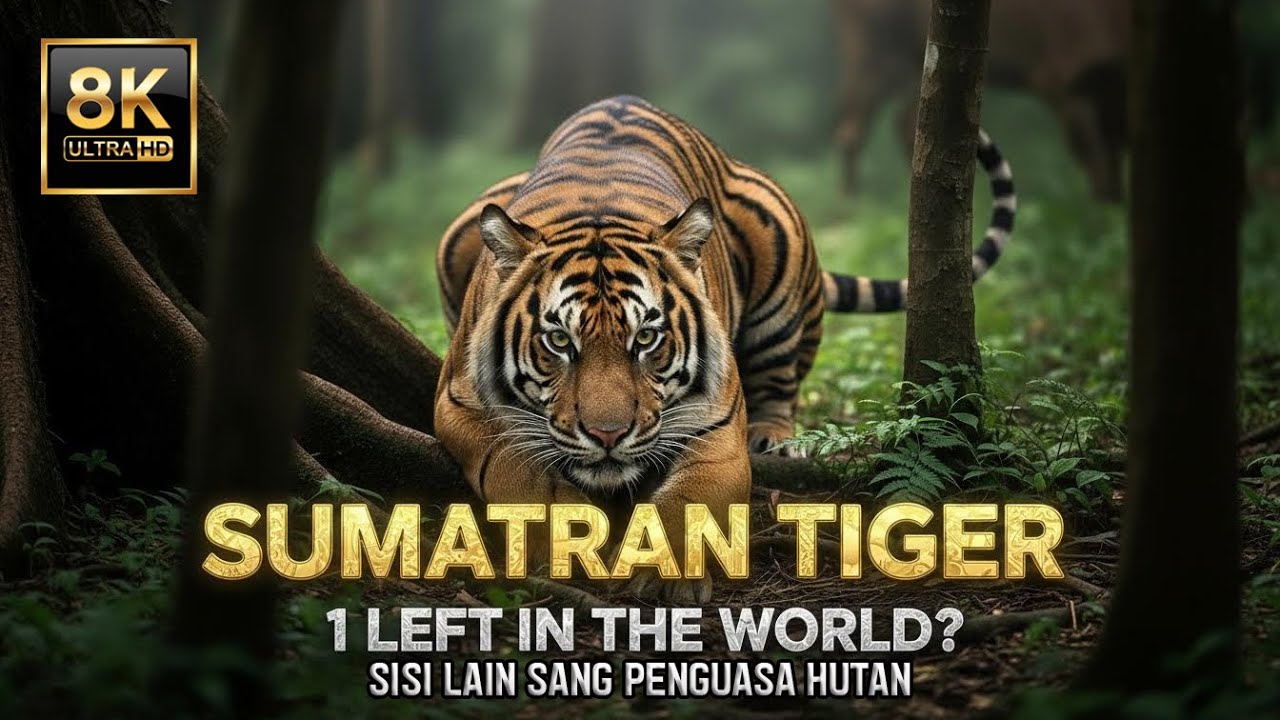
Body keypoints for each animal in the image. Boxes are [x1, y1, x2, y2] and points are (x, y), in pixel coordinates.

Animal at [433, 96, 1016, 598]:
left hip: (779, 261)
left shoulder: (715, 426)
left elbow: (693, 498)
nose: (608, 435)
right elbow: (519, 471)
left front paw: (665, 570)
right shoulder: (459, 402)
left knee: (781, 385)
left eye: (646, 338)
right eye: (558, 341)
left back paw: (773, 438)